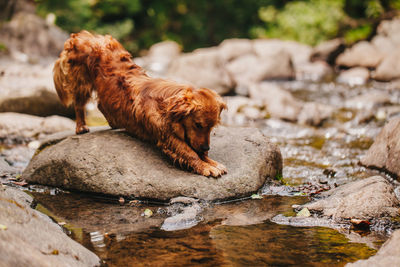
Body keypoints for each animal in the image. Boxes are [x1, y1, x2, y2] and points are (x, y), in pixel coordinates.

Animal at [53, 30, 228, 178]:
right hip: (81, 81)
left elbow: (197, 150)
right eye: (198, 125)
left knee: (101, 105)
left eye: (212, 128)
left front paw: (211, 162)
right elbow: (189, 152)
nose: (206, 148)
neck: (165, 104)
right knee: (79, 105)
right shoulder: (167, 137)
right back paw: (81, 127)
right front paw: (205, 166)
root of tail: (85, 36)